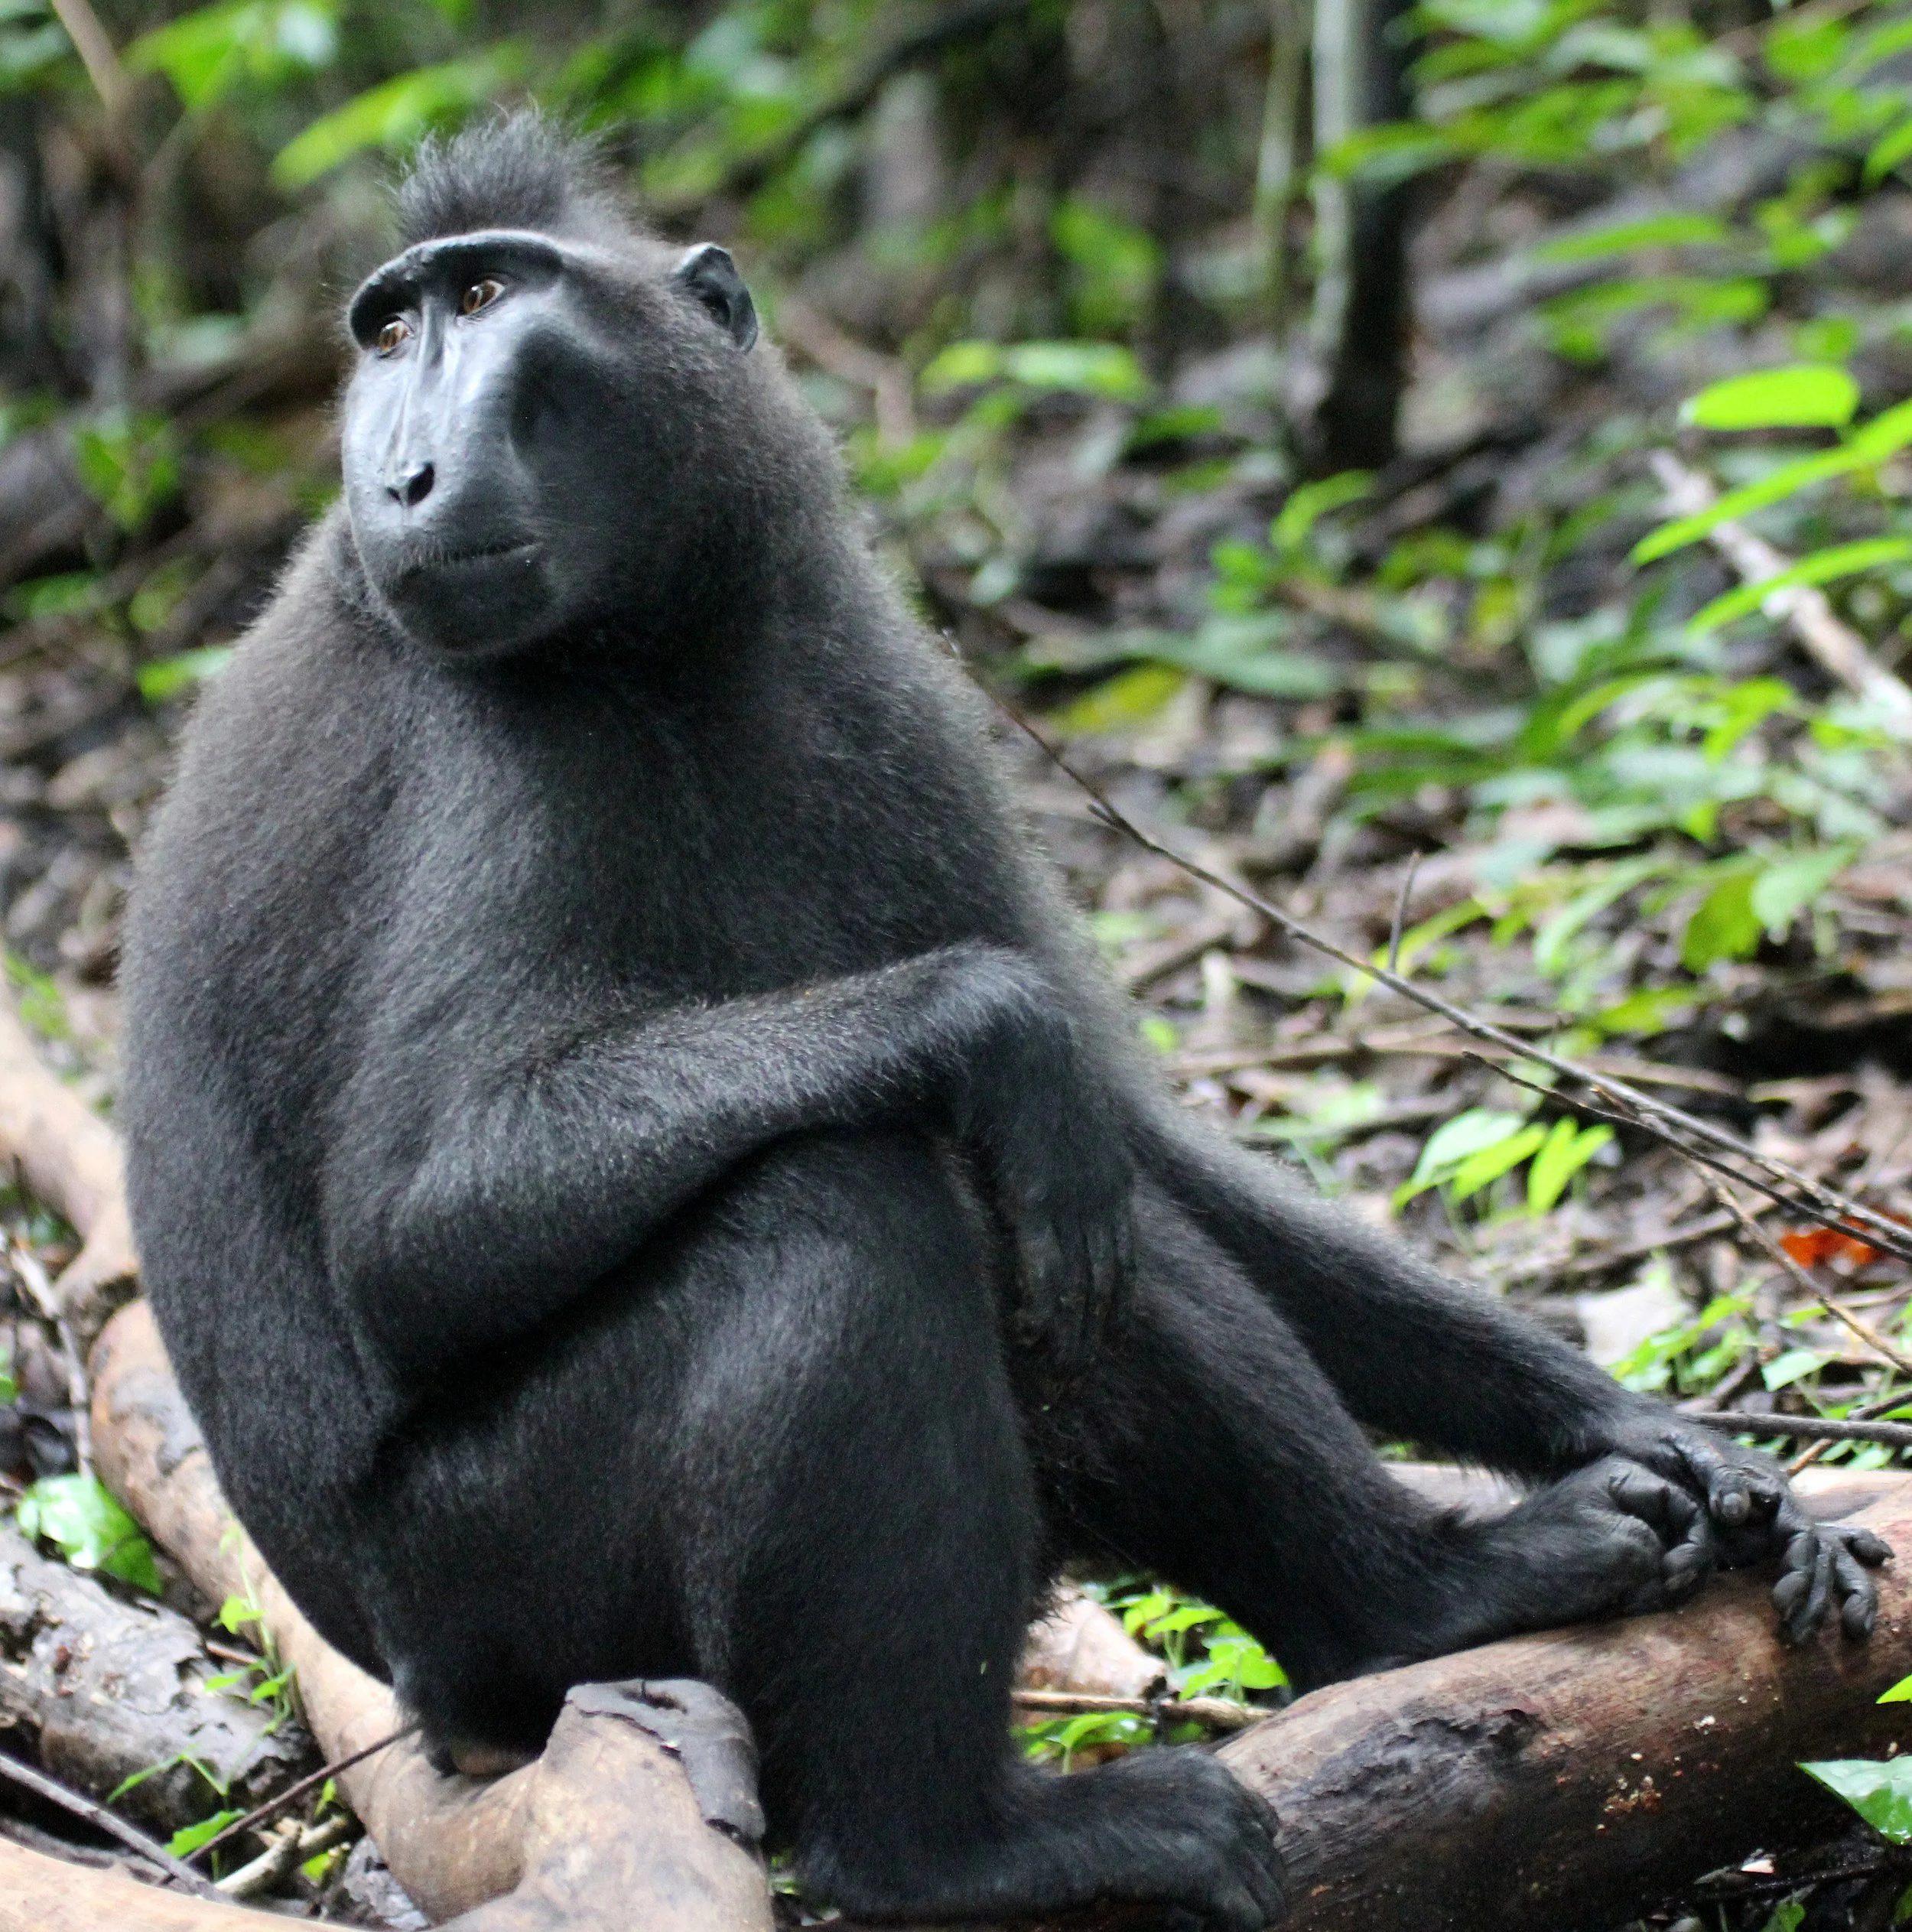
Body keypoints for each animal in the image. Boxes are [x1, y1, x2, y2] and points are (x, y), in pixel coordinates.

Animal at [118, 116, 1888, 1931]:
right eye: (389, 329)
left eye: (479, 300)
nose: (398, 477)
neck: (674, 640)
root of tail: (418, 1695)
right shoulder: (503, 740)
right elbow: (426, 1220)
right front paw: (992, 1018)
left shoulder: (867, 675)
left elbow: (1131, 1136)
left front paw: (1647, 1431)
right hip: (511, 1586)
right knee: (852, 1201)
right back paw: (938, 1846)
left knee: (1059, 1212)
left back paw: (1415, 1601)